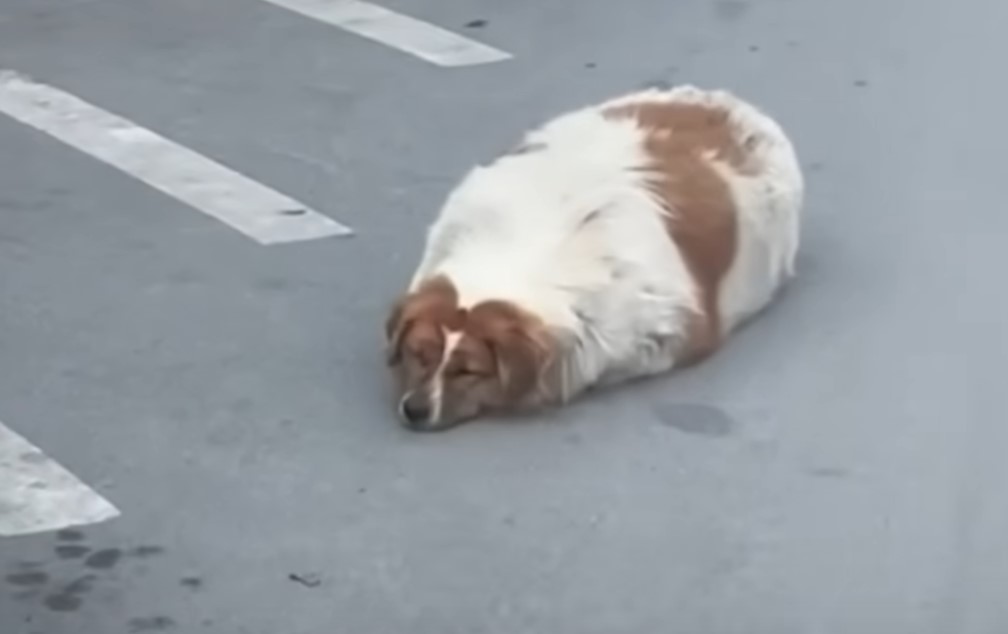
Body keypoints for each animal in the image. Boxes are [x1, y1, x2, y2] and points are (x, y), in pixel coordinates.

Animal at [383, 84, 802, 429]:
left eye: (467, 372)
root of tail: (740, 107)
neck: (519, 253)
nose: (415, 410)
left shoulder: (667, 330)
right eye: (418, 354)